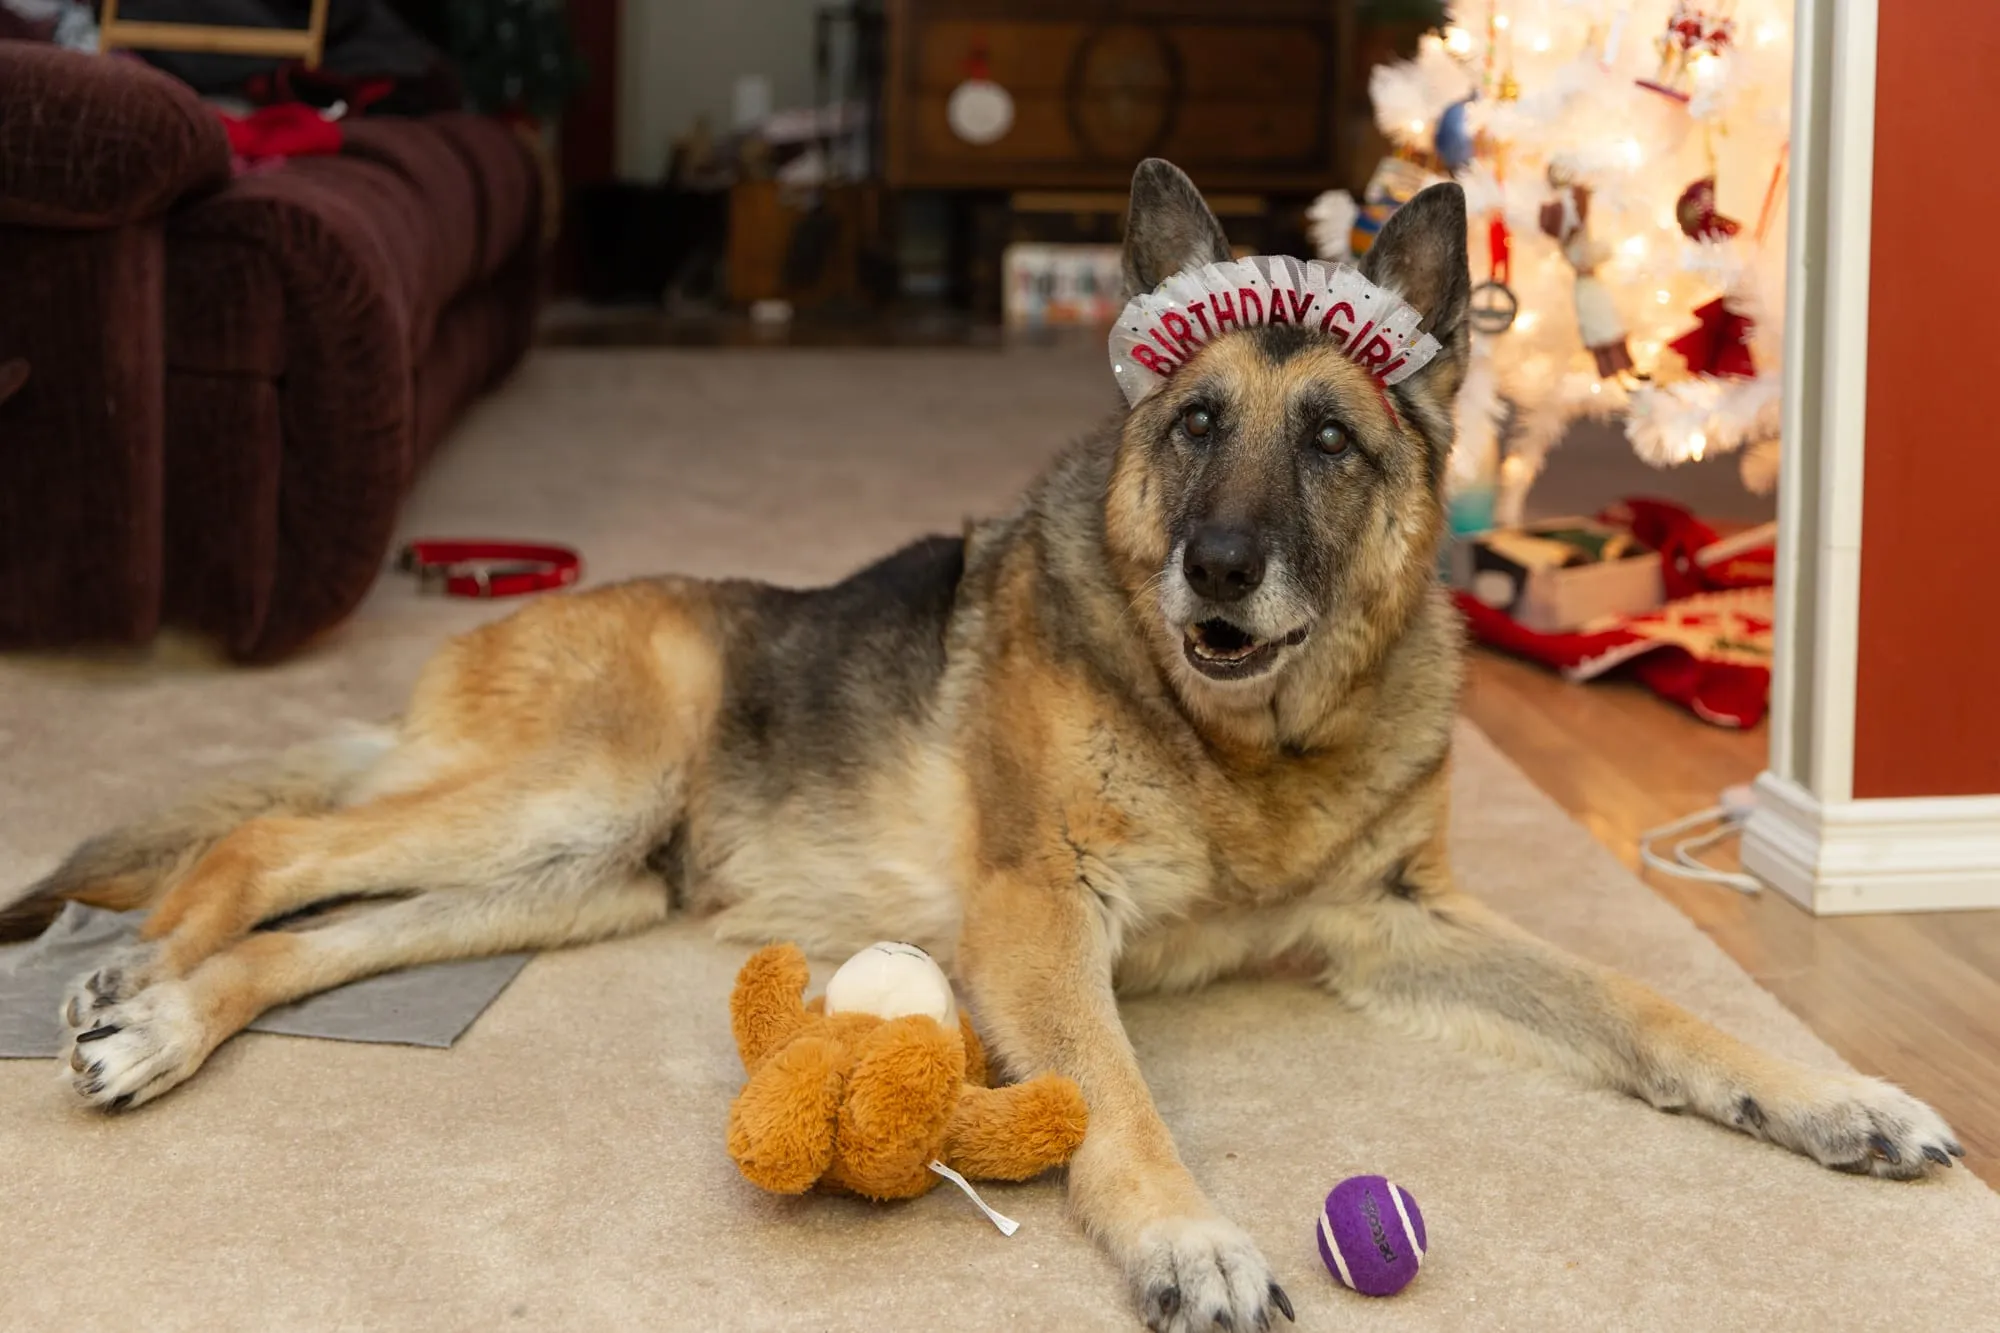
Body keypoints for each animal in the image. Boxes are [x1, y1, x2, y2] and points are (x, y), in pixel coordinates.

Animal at [7, 163, 1960, 1328]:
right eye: (1193, 424)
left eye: (1330, 439)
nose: (1217, 571)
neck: (1248, 750)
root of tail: (486, 625)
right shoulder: (1040, 923)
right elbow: (1118, 1096)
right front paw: (1188, 1237)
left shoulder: (1403, 924)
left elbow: (1652, 1005)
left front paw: (1826, 1095)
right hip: (569, 794)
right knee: (257, 850)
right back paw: (126, 987)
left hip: (574, 878)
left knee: (320, 935)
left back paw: (161, 1017)